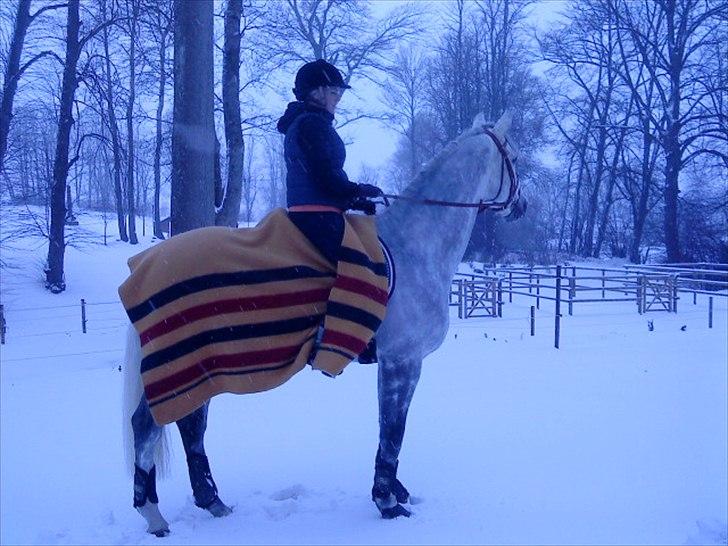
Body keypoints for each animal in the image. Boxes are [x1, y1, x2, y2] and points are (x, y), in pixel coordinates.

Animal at [123, 108, 524, 532]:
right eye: (514, 157)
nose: (523, 205)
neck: (413, 248)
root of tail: (146, 266)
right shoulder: (402, 361)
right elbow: (393, 429)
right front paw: (387, 502)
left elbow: (389, 428)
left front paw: (396, 491)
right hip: (181, 365)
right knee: (147, 426)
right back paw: (154, 515)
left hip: (199, 367)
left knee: (189, 425)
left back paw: (212, 501)